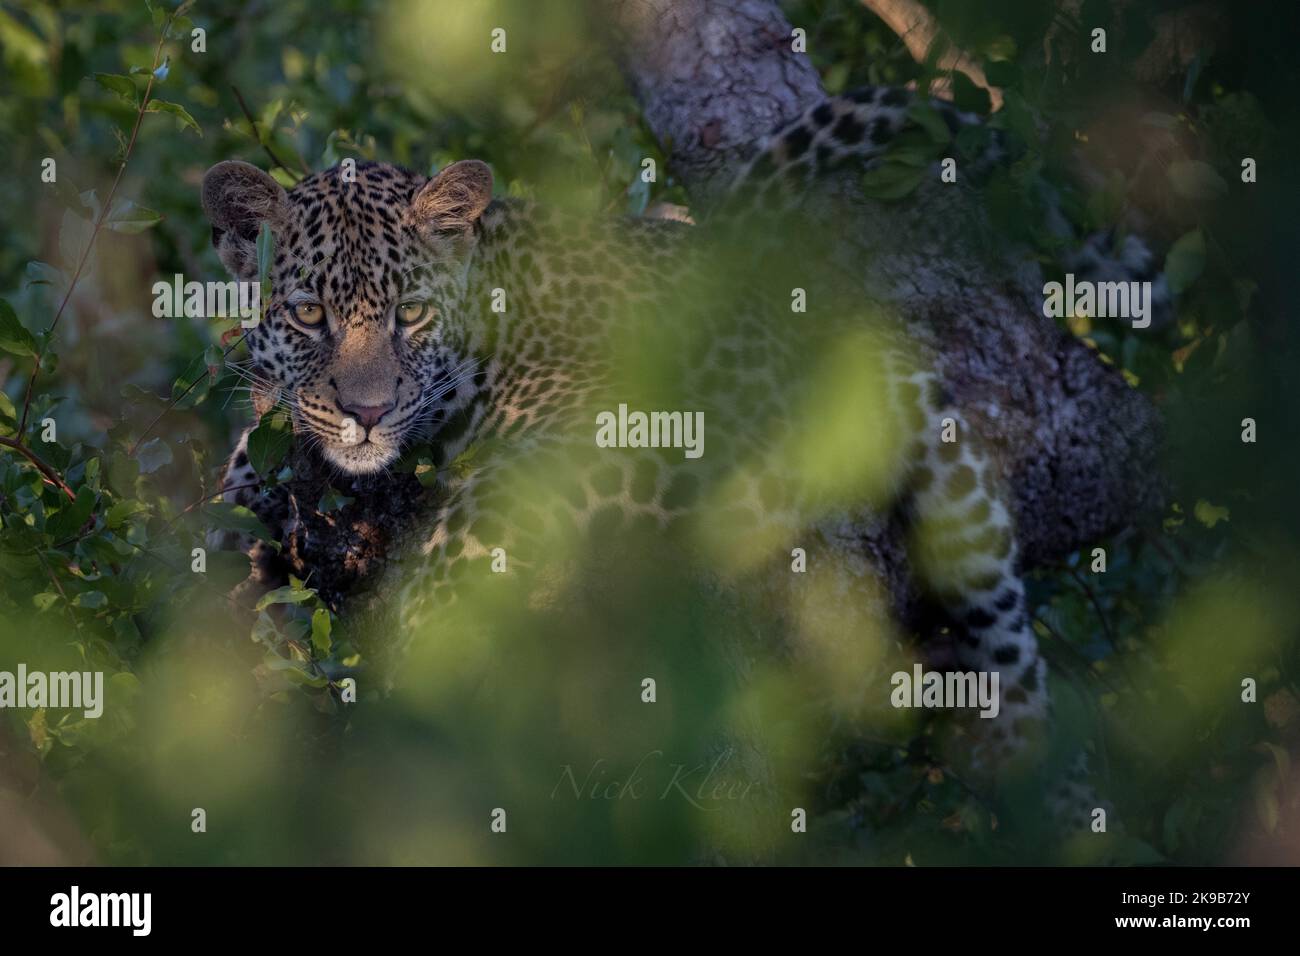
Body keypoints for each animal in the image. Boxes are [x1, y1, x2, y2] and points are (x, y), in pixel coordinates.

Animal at [200, 83, 1159, 832]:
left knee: (1009, 650)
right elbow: (235, 488)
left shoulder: (625, 424)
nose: (366, 415)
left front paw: (415, 648)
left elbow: (483, 520)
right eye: (311, 315)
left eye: (410, 314)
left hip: (950, 488)